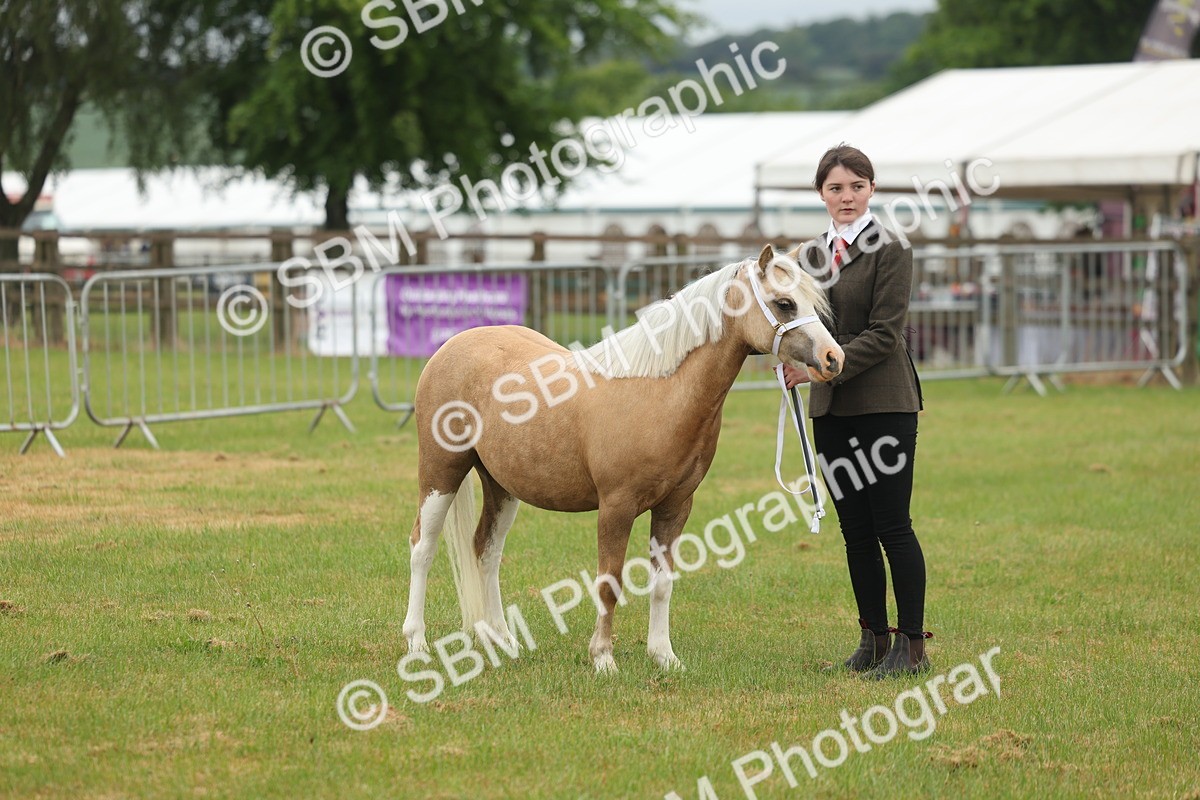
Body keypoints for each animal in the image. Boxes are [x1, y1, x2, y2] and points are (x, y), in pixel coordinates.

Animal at [402, 244, 844, 673]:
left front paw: (664, 656)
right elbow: (608, 582)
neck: (661, 391)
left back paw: (502, 641)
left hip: (501, 485)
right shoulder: (616, 507)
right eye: (785, 303)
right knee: (423, 547)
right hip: (441, 472)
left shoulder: (675, 506)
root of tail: (451, 346)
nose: (833, 358)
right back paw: (417, 643)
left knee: (486, 550)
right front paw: (603, 658)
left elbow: (662, 582)